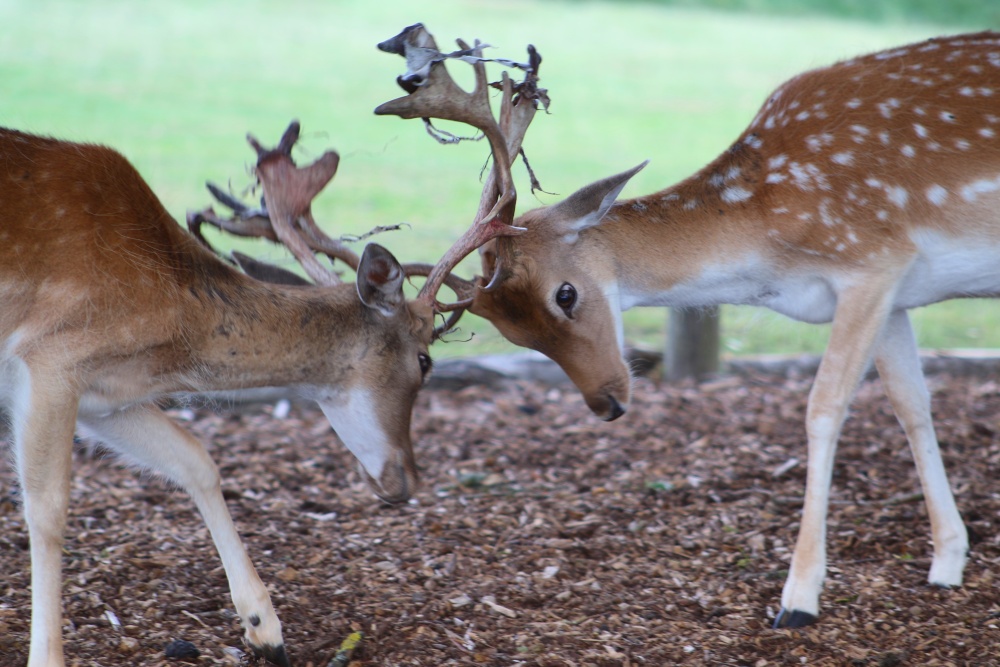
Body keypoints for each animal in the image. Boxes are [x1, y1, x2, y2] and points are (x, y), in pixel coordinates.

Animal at [0, 117, 512, 667]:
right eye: (424, 361)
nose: (407, 480)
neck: (170, 323)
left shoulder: (105, 397)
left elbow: (196, 461)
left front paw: (266, 629)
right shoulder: (50, 357)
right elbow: (47, 511)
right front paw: (47, 657)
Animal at [377, 28, 1000, 628]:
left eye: (566, 293)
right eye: (516, 336)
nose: (608, 404)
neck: (770, 244)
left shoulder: (872, 261)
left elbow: (823, 409)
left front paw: (798, 599)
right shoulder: (897, 292)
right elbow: (912, 404)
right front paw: (947, 561)